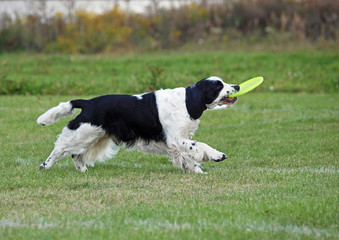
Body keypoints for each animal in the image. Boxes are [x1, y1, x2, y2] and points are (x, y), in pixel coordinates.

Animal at [37, 76, 239, 172]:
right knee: (60, 149)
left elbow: (188, 156)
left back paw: (83, 170)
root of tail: (87, 103)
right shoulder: (176, 139)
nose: (237, 86)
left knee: (76, 154)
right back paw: (45, 167)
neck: (187, 101)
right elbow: (198, 146)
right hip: (83, 132)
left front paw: (196, 171)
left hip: (94, 136)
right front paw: (217, 155)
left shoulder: (179, 141)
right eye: (218, 85)